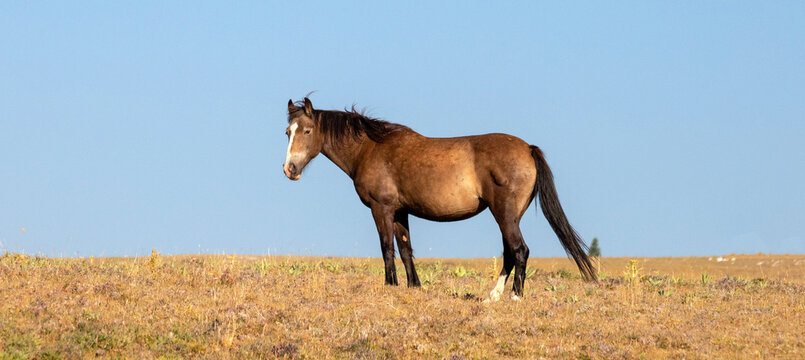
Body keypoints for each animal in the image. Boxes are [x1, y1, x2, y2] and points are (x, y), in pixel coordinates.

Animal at [282, 97, 596, 300]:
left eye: (307, 130)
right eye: (287, 132)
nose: (289, 169)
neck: (370, 149)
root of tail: (527, 148)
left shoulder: (381, 209)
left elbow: (387, 248)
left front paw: (390, 286)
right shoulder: (400, 211)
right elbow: (405, 249)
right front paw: (414, 287)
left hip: (504, 214)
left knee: (520, 250)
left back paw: (515, 297)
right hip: (511, 215)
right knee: (510, 251)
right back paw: (492, 296)